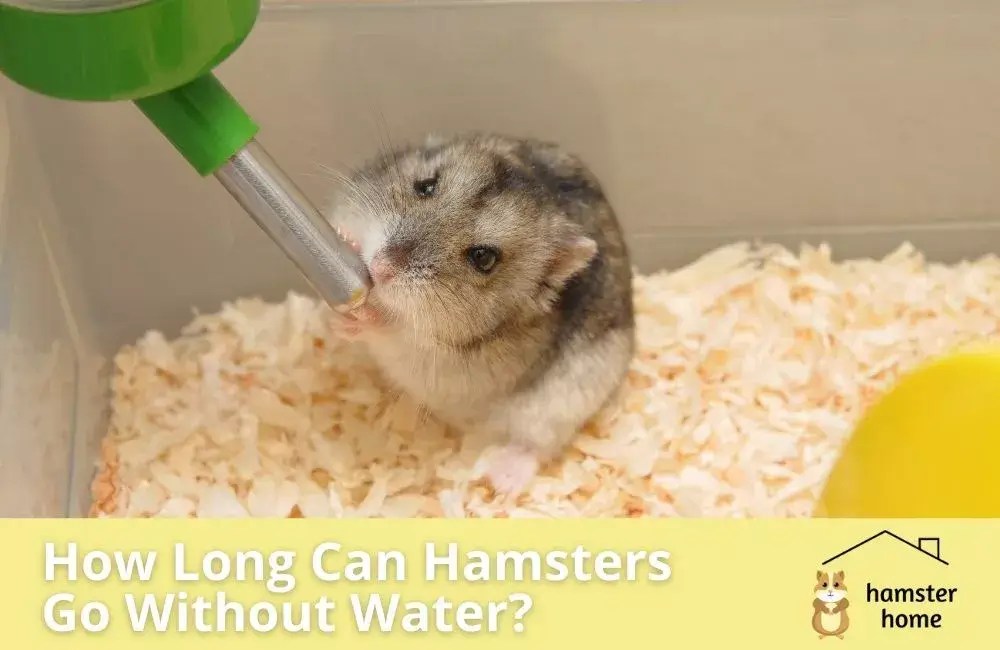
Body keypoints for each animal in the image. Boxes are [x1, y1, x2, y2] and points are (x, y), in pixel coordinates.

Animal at [325, 133, 635, 494]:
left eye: (483, 258)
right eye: (426, 186)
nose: (380, 268)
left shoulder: (442, 362)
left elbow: (396, 333)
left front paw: (362, 317)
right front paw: (347, 242)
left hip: (559, 408)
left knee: (536, 445)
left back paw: (500, 480)